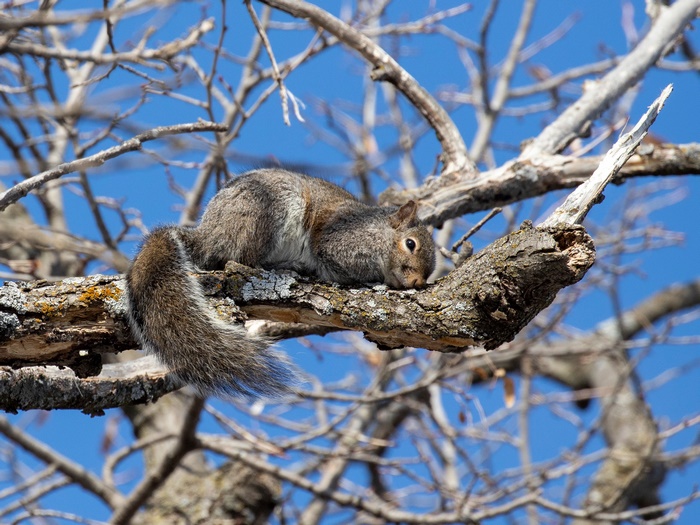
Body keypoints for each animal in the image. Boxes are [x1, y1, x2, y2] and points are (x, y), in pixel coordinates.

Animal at [125, 168, 436, 398]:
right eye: (410, 244)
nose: (417, 282)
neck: (377, 233)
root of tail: (206, 235)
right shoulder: (340, 243)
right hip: (265, 213)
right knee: (237, 259)